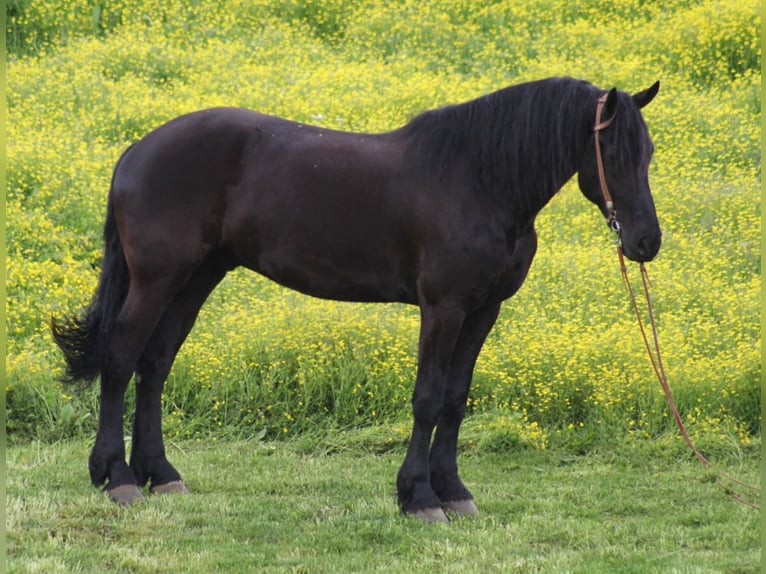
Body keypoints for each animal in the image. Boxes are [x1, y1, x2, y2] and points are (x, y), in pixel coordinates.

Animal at [51, 79, 660, 524]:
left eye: (649, 152)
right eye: (610, 150)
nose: (646, 242)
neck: (478, 179)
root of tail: (138, 149)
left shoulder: (484, 310)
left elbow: (456, 399)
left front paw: (453, 490)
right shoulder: (443, 308)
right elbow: (428, 399)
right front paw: (419, 498)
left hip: (198, 277)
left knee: (154, 365)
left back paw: (161, 474)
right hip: (157, 278)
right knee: (121, 359)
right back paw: (118, 478)